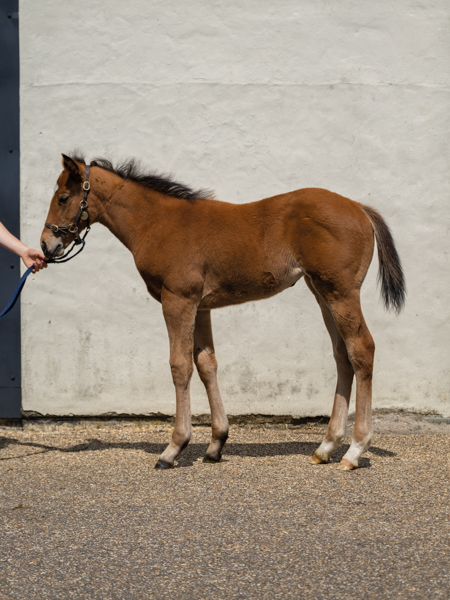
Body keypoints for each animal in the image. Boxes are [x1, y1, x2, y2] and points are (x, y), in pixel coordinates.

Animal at [41, 157, 404, 472]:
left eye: (63, 197)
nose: (46, 245)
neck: (157, 222)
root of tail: (359, 207)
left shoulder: (178, 300)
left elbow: (180, 366)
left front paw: (174, 448)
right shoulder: (201, 306)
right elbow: (206, 365)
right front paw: (216, 444)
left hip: (341, 291)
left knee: (362, 349)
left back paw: (355, 450)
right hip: (322, 291)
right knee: (342, 355)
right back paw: (326, 447)